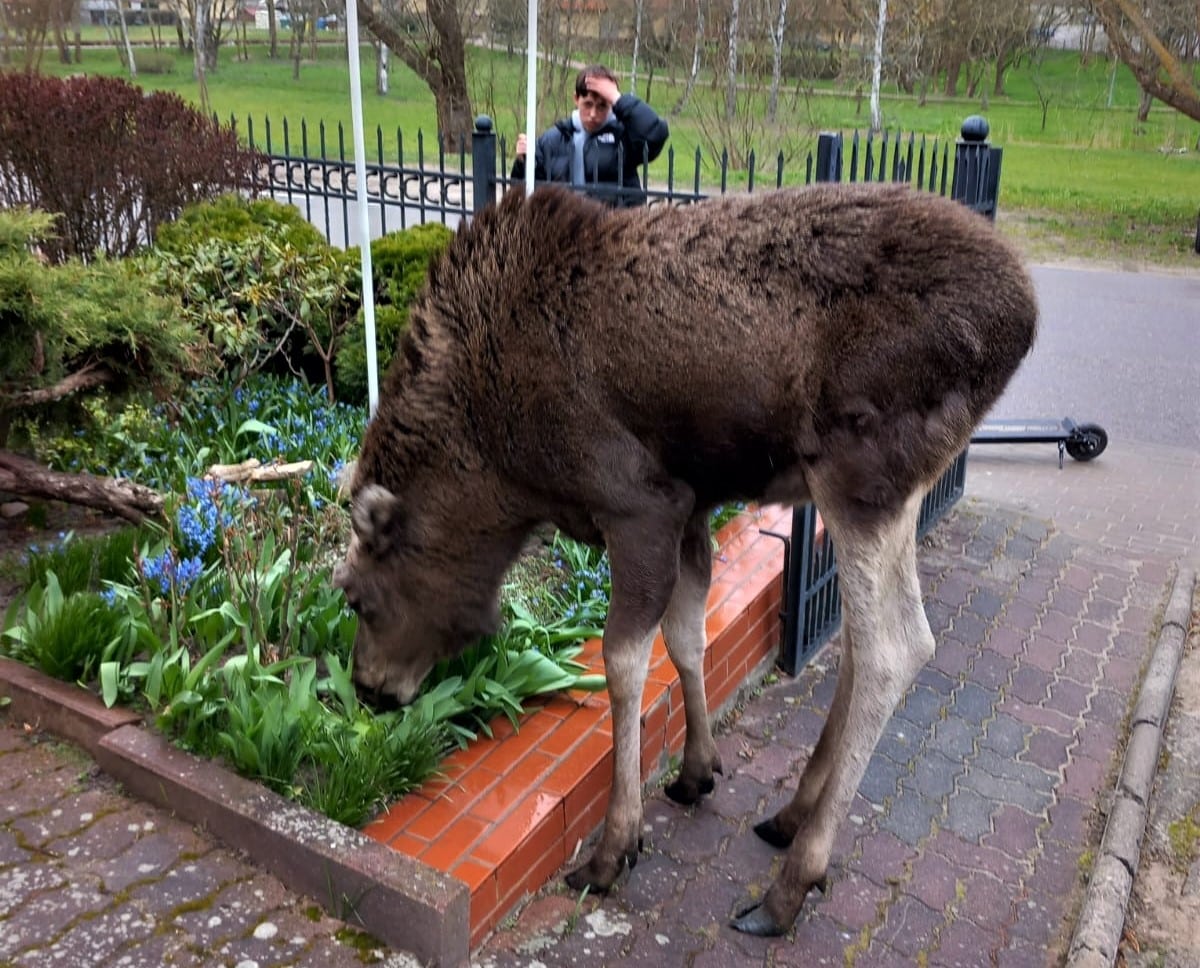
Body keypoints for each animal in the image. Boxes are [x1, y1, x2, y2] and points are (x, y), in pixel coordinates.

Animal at [333, 183, 1036, 940]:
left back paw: (792, 884)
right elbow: (688, 636)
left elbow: (623, 664)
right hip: (889, 492)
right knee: (859, 636)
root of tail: (1021, 322)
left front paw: (615, 846)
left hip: (860, 470)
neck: (499, 471)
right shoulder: (694, 506)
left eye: (355, 596)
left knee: (894, 648)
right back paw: (792, 814)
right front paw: (698, 769)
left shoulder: (640, 503)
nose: (369, 689)